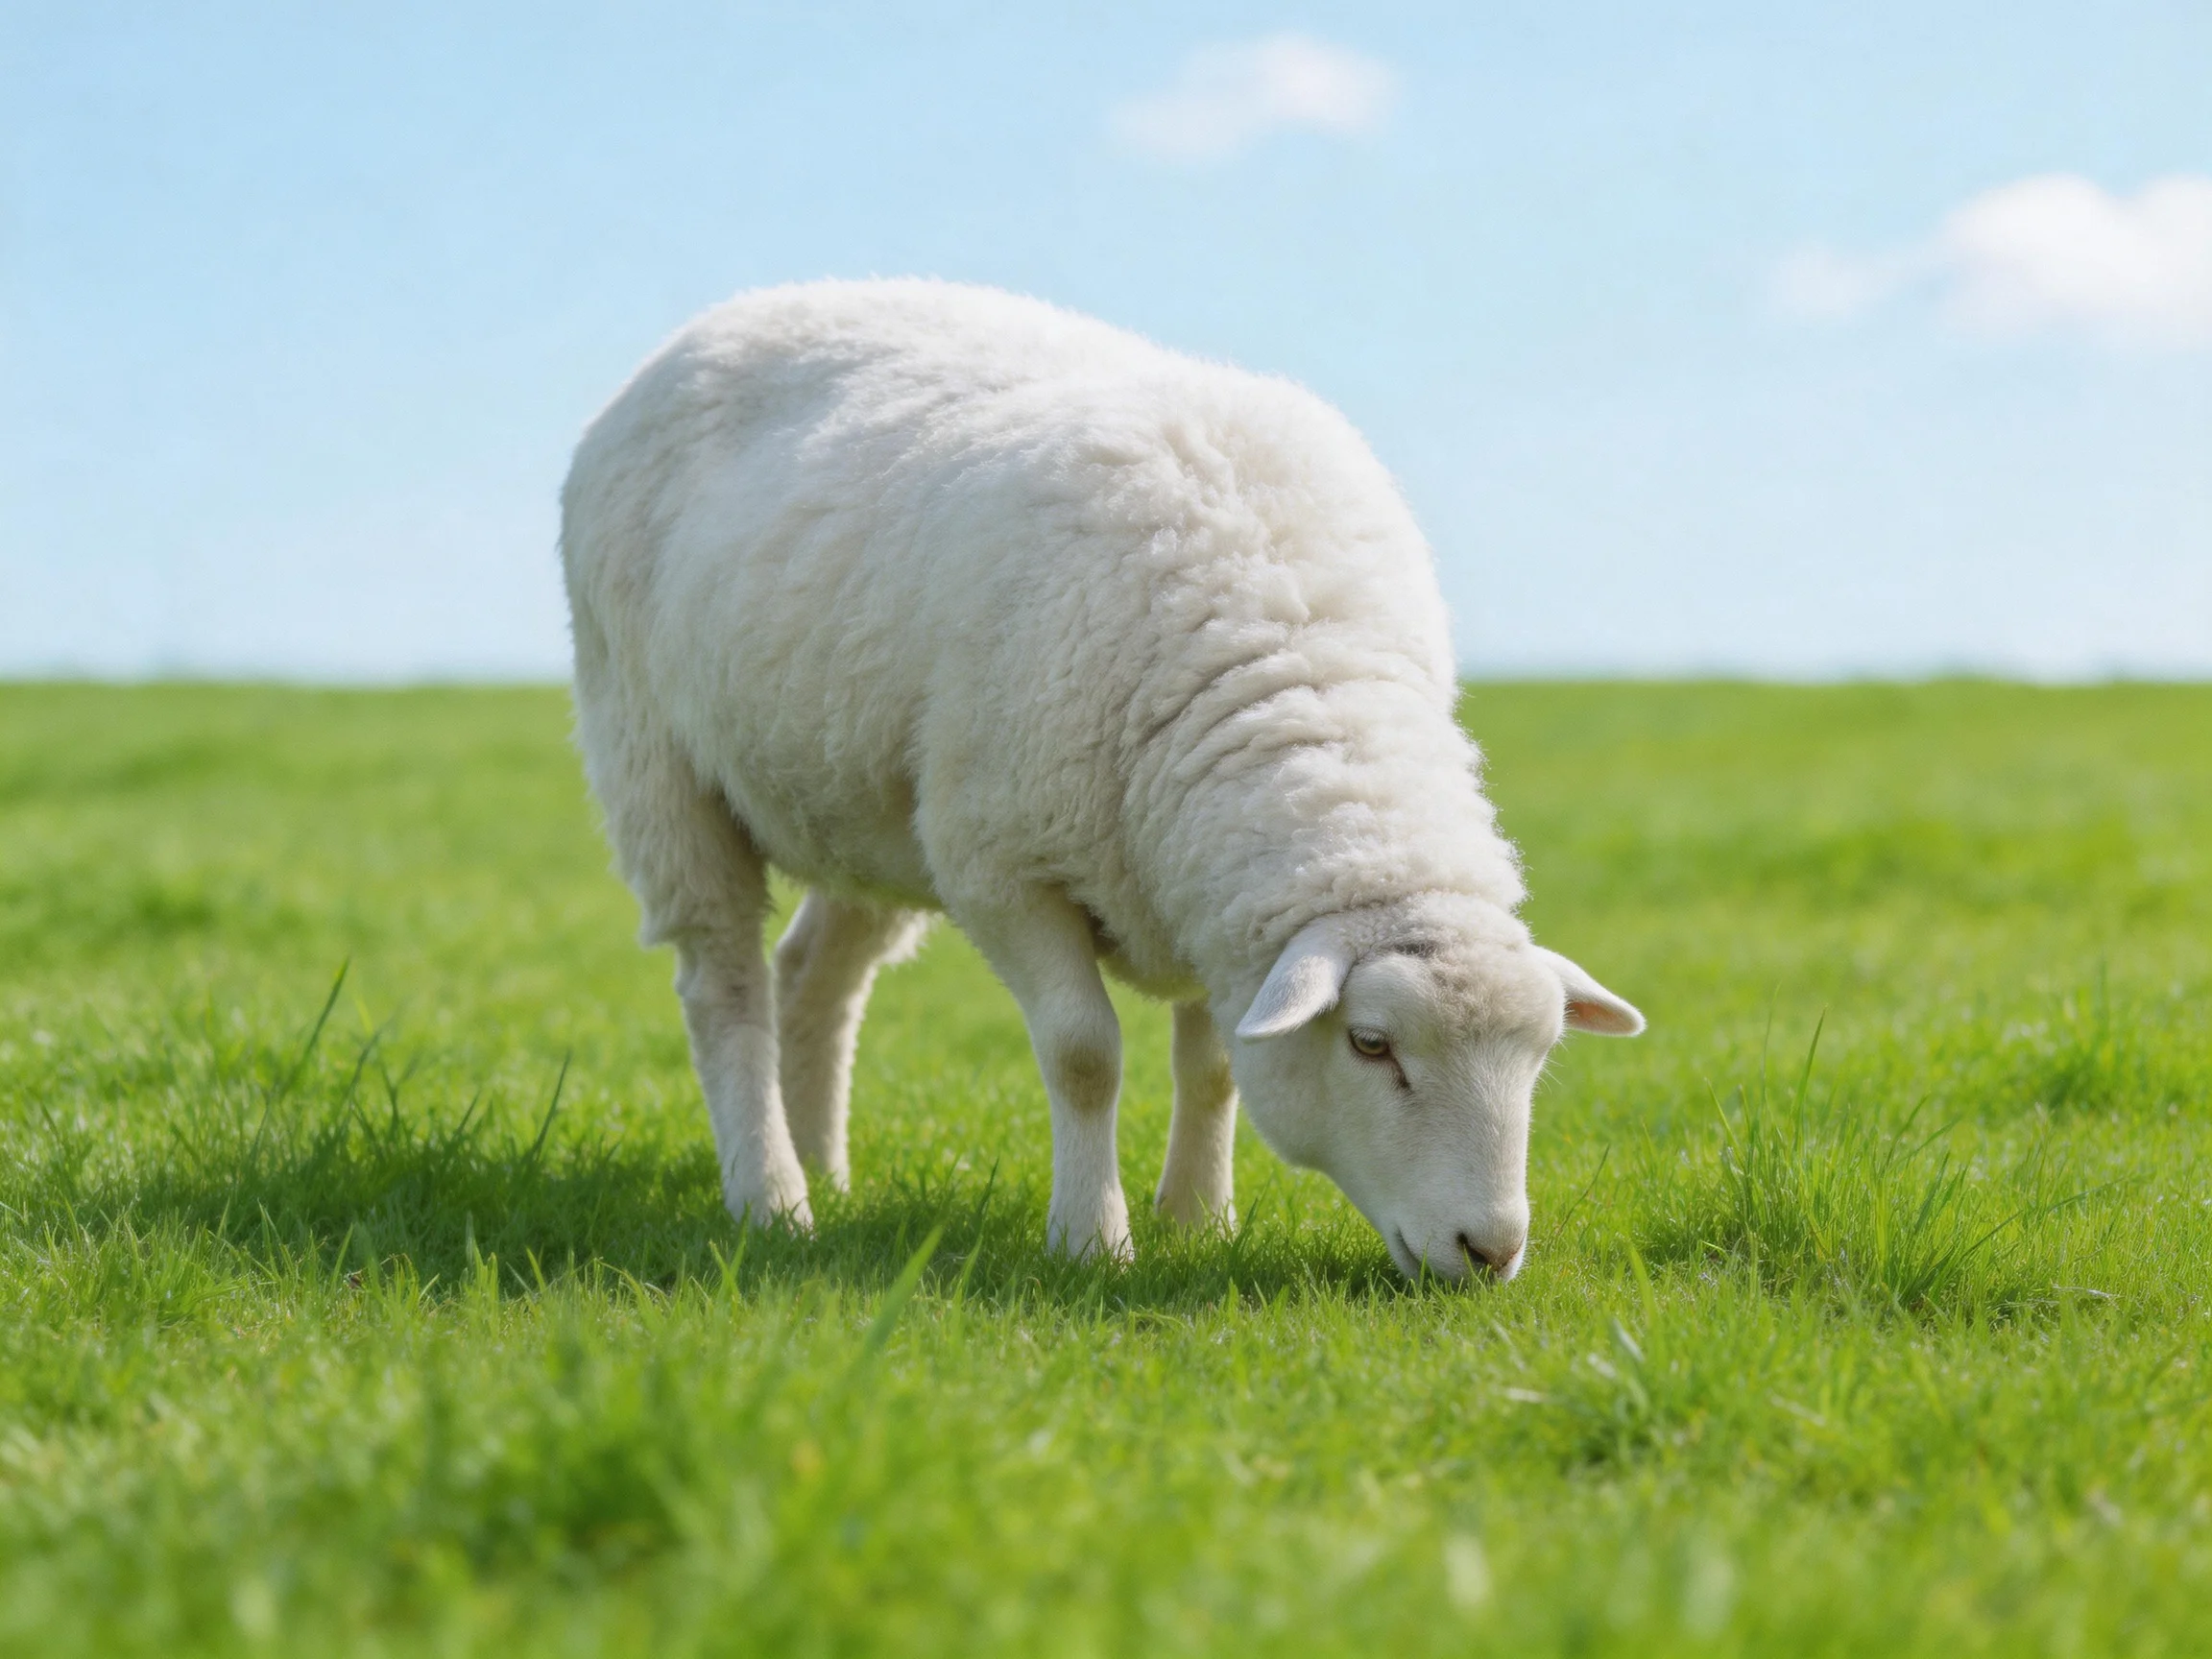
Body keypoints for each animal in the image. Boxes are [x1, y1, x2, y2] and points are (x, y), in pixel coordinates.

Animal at [560, 278, 1643, 1281]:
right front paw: (1092, 1241)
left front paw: (1199, 1219)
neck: (1291, 660)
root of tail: (738, 311)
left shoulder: (1209, 890)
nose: (1490, 1250)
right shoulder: (1002, 864)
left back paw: (826, 1170)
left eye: (1541, 1056)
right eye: (1371, 1045)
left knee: (815, 974)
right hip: (657, 761)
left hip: (862, 796)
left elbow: (1214, 1066)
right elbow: (1085, 1055)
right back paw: (773, 1199)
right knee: (725, 987)